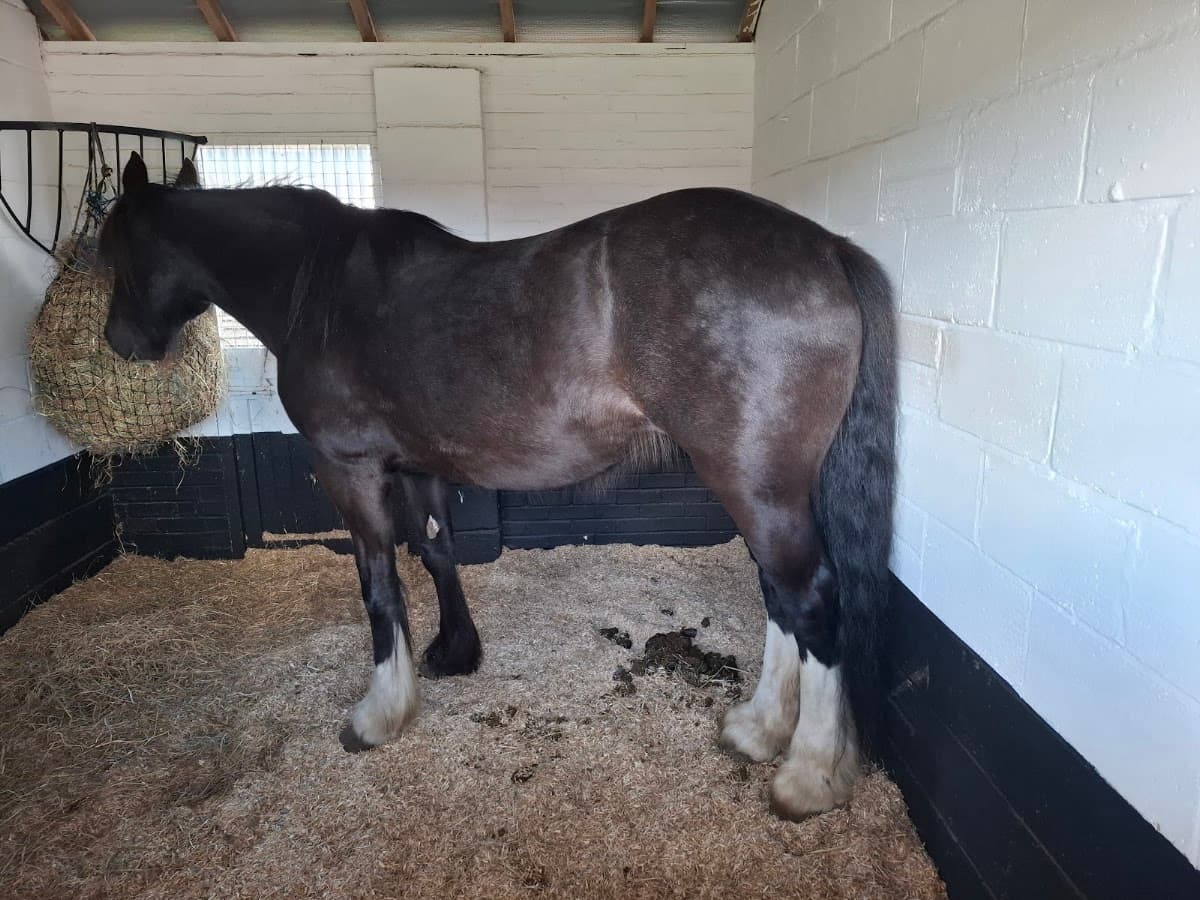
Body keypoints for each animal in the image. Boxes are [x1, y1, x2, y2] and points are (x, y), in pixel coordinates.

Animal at [100, 150, 896, 820]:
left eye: (110, 252)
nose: (118, 342)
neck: (314, 290)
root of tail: (824, 247)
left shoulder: (348, 467)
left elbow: (380, 584)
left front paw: (379, 713)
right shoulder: (418, 466)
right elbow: (436, 551)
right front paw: (454, 654)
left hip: (755, 484)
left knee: (808, 598)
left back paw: (807, 776)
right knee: (779, 596)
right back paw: (758, 729)